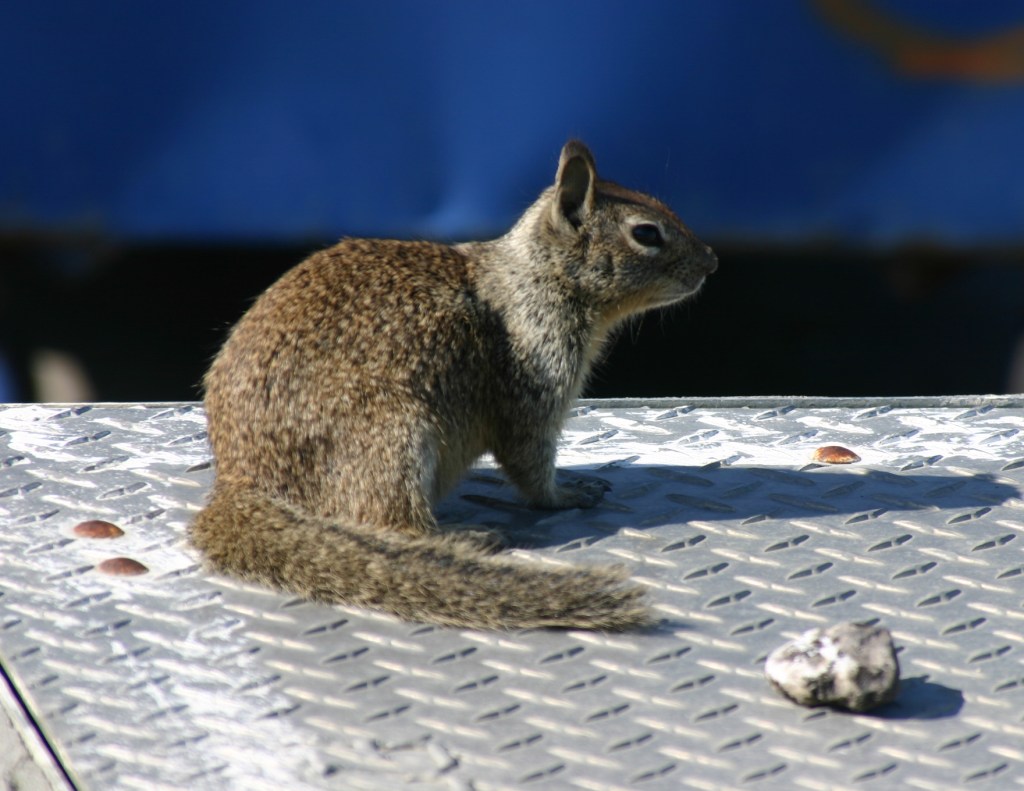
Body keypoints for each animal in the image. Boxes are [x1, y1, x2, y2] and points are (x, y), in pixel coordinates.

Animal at [193, 140, 720, 631]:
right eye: (646, 233)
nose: (712, 262)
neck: (533, 280)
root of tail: (241, 482)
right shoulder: (533, 385)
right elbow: (530, 464)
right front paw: (568, 493)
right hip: (393, 440)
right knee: (390, 522)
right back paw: (465, 538)